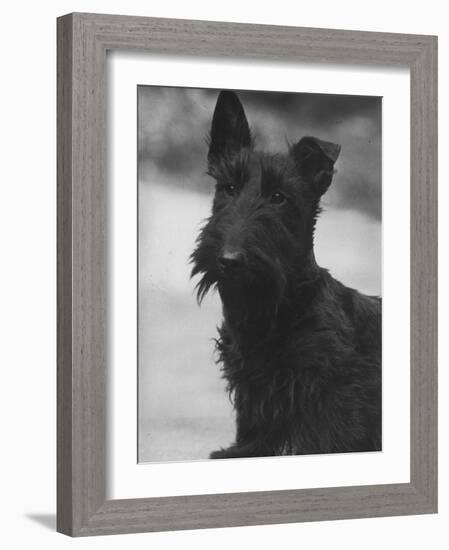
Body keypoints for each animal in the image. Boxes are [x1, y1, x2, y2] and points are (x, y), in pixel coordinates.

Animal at [191, 91, 380, 462]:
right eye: (228, 188)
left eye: (279, 197)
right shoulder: (253, 389)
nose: (228, 260)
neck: (272, 309)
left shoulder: (332, 395)